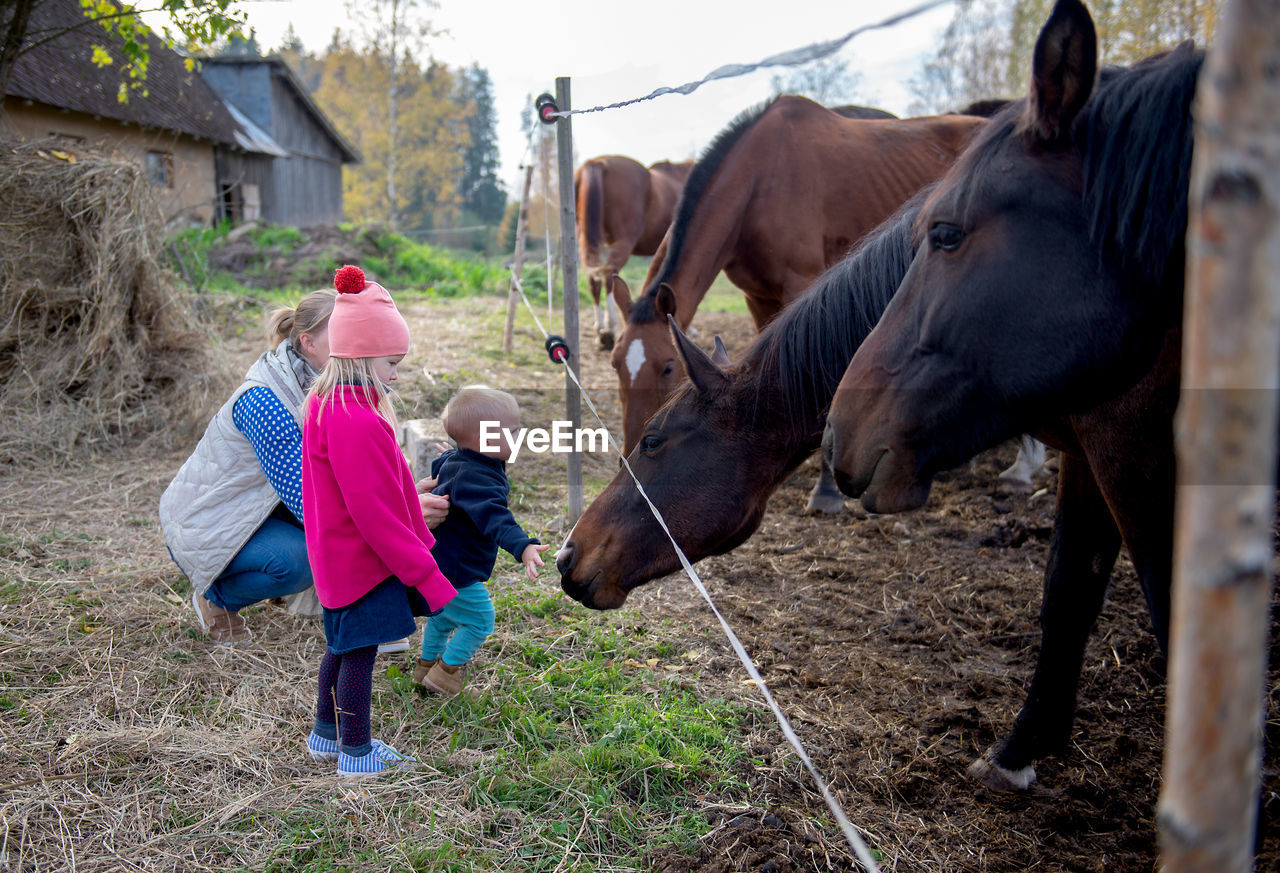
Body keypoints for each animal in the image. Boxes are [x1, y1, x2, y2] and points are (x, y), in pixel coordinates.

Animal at [573, 156, 691, 350]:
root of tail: (598, 161)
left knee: (594, 280)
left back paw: (600, 331)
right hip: (623, 242)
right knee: (609, 274)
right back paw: (610, 330)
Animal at [604, 96, 983, 509]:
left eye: (669, 367)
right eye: (614, 363)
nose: (628, 457)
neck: (760, 180)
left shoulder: (805, 285)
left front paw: (826, 491)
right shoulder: (758, 297)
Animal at [819, 0, 1198, 788]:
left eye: (945, 233)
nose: (838, 431)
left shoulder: (1139, 461)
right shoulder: (1096, 449)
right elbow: (1069, 587)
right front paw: (1021, 747)